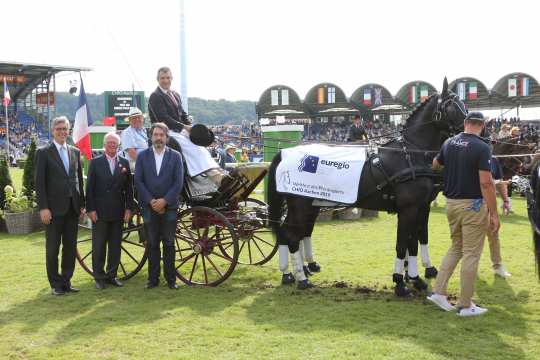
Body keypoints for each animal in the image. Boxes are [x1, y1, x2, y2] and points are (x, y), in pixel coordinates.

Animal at [268, 79, 466, 296]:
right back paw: (299, 277)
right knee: (290, 235)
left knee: (297, 232)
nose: (472, 129)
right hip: (300, 205)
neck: (410, 154)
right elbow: (402, 244)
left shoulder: (422, 206)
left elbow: (414, 242)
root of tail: (285, 152)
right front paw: (401, 282)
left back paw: (297, 271)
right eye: (451, 107)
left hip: (310, 205)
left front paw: (415, 277)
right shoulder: (409, 209)